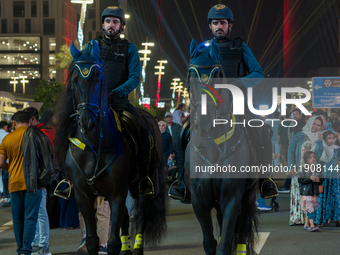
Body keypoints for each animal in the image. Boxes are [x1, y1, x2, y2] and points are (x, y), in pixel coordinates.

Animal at [53, 40, 167, 255]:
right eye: (74, 79)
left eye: (98, 78)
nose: (87, 122)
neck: (93, 147)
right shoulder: (83, 196)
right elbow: (92, 240)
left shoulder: (117, 193)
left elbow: (113, 241)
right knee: (125, 219)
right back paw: (127, 248)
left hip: (144, 183)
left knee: (140, 216)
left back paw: (136, 247)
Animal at [185, 38, 258, 254]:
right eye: (190, 74)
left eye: (217, 74)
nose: (205, 124)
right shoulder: (199, 201)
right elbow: (210, 243)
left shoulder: (232, 199)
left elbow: (225, 244)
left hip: (249, 196)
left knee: (243, 227)